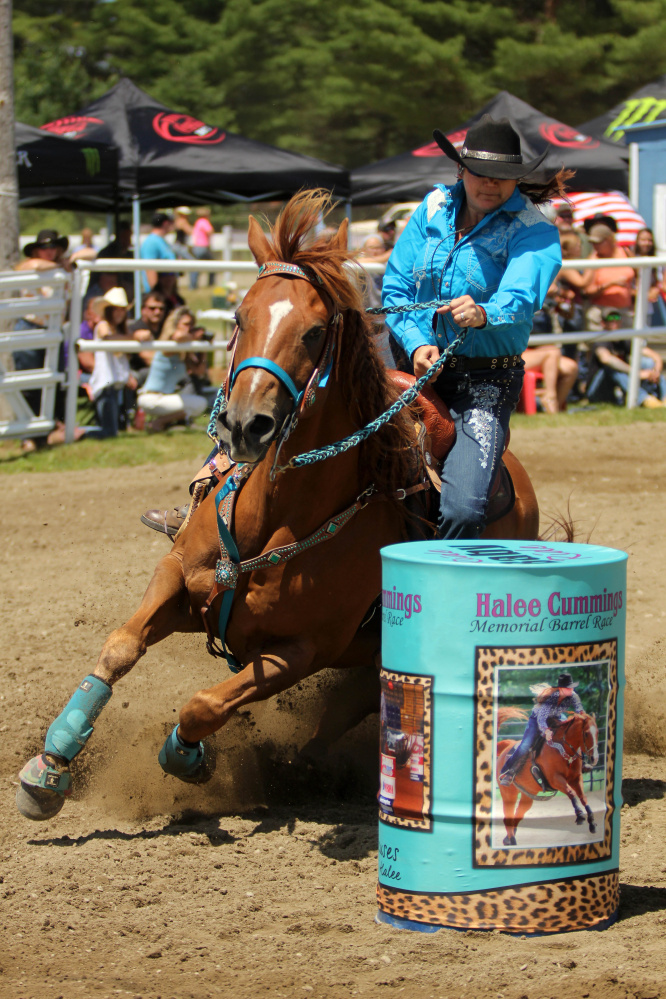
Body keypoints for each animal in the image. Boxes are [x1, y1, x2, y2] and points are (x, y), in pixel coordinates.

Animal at [18, 193, 540, 820]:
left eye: (314, 331)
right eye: (240, 318)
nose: (245, 425)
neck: (276, 514)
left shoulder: (300, 651)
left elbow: (204, 705)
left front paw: (187, 759)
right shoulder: (177, 575)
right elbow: (119, 647)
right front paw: (49, 768)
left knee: (358, 704)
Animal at [496, 708, 600, 848]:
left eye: (598, 732)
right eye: (587, 733)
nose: (595, 758)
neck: (563, 749)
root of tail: (506, 746)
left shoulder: (576, 779)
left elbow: (583, 797)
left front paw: (592, 822)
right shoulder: (555, 780)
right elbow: (571, 792)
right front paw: (580, 816)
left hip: (528, 795)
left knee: (519, 812)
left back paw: (508, 838)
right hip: (508, 793)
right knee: (508, 812)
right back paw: (512, 839)